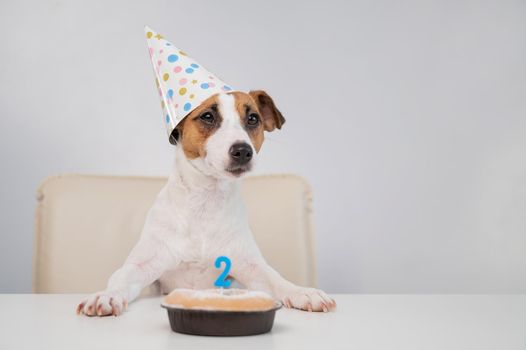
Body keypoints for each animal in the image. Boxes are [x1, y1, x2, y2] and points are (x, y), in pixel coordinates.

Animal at [75, 91, 338, 318]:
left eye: (253, 118)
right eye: (208, 116)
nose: (243, 151)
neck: (205, 200)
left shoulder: (251, 266)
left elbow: (276, 279)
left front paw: (303, 292)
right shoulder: (143, 265)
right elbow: (121, 278)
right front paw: (106, 296)